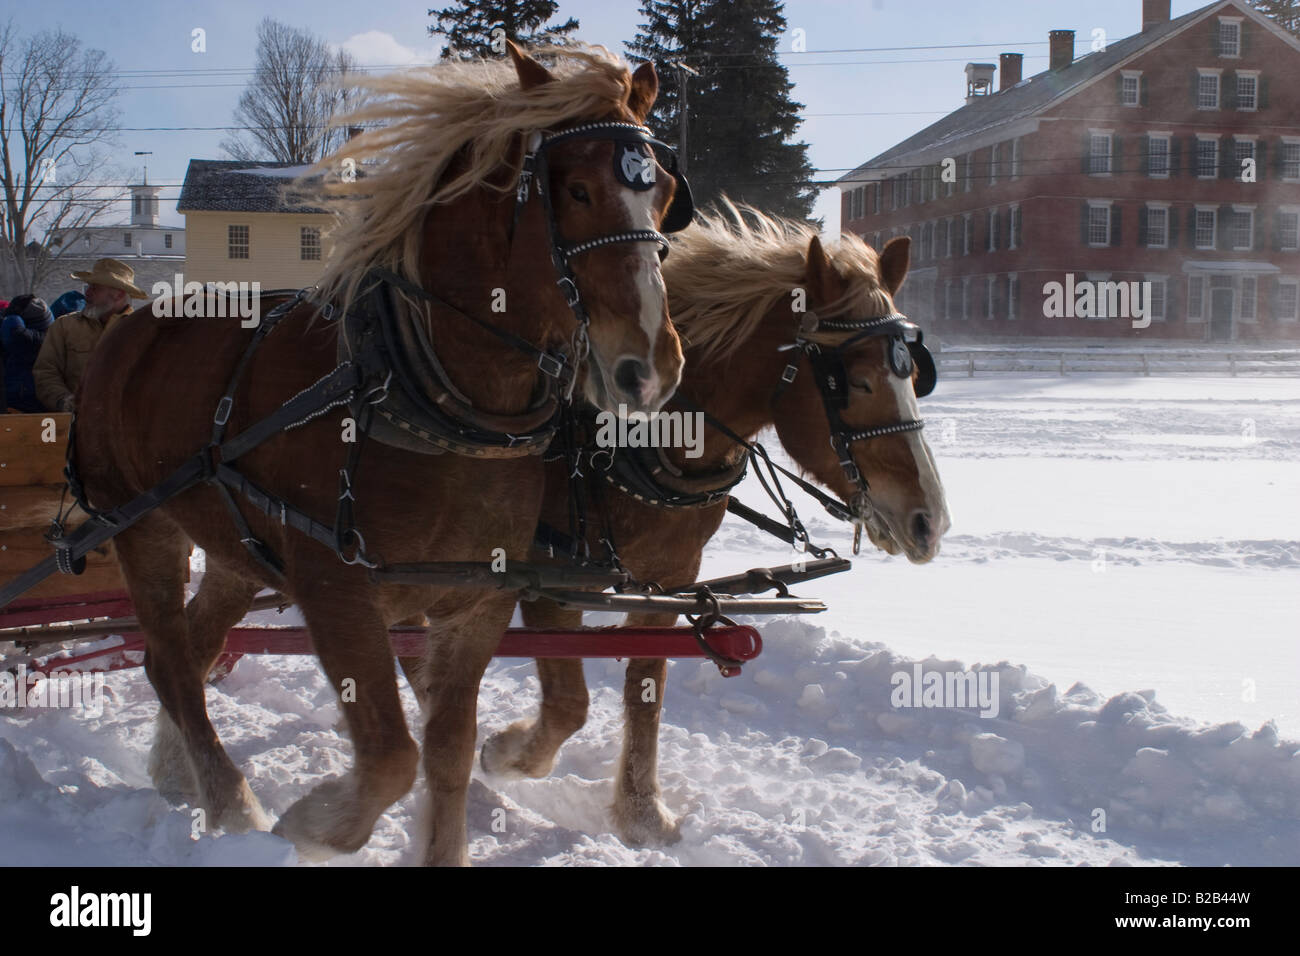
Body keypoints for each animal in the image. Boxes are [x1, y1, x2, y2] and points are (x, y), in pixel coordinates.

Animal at [73, 44, 681, 868]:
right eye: (578, 190)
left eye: (667, 195)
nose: (650, 367)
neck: (431, 397)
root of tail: (129, 327)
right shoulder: (335, 588)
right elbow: (392, 756)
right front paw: (314, 824)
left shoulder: (478, 600)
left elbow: (446, 751)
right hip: (139, 525)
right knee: (168, 660)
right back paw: (231, 803)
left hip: (235, 549)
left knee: (191, 654)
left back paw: (178, 774)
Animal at [400, 208, 951, 842]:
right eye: (856, 382)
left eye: (914, 378)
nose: (929, 522)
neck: (637, 439)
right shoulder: (548, 577)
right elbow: (569, 703)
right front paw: (505, 755)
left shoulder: (670, 579)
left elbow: (647, 688)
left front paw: (641, 813)